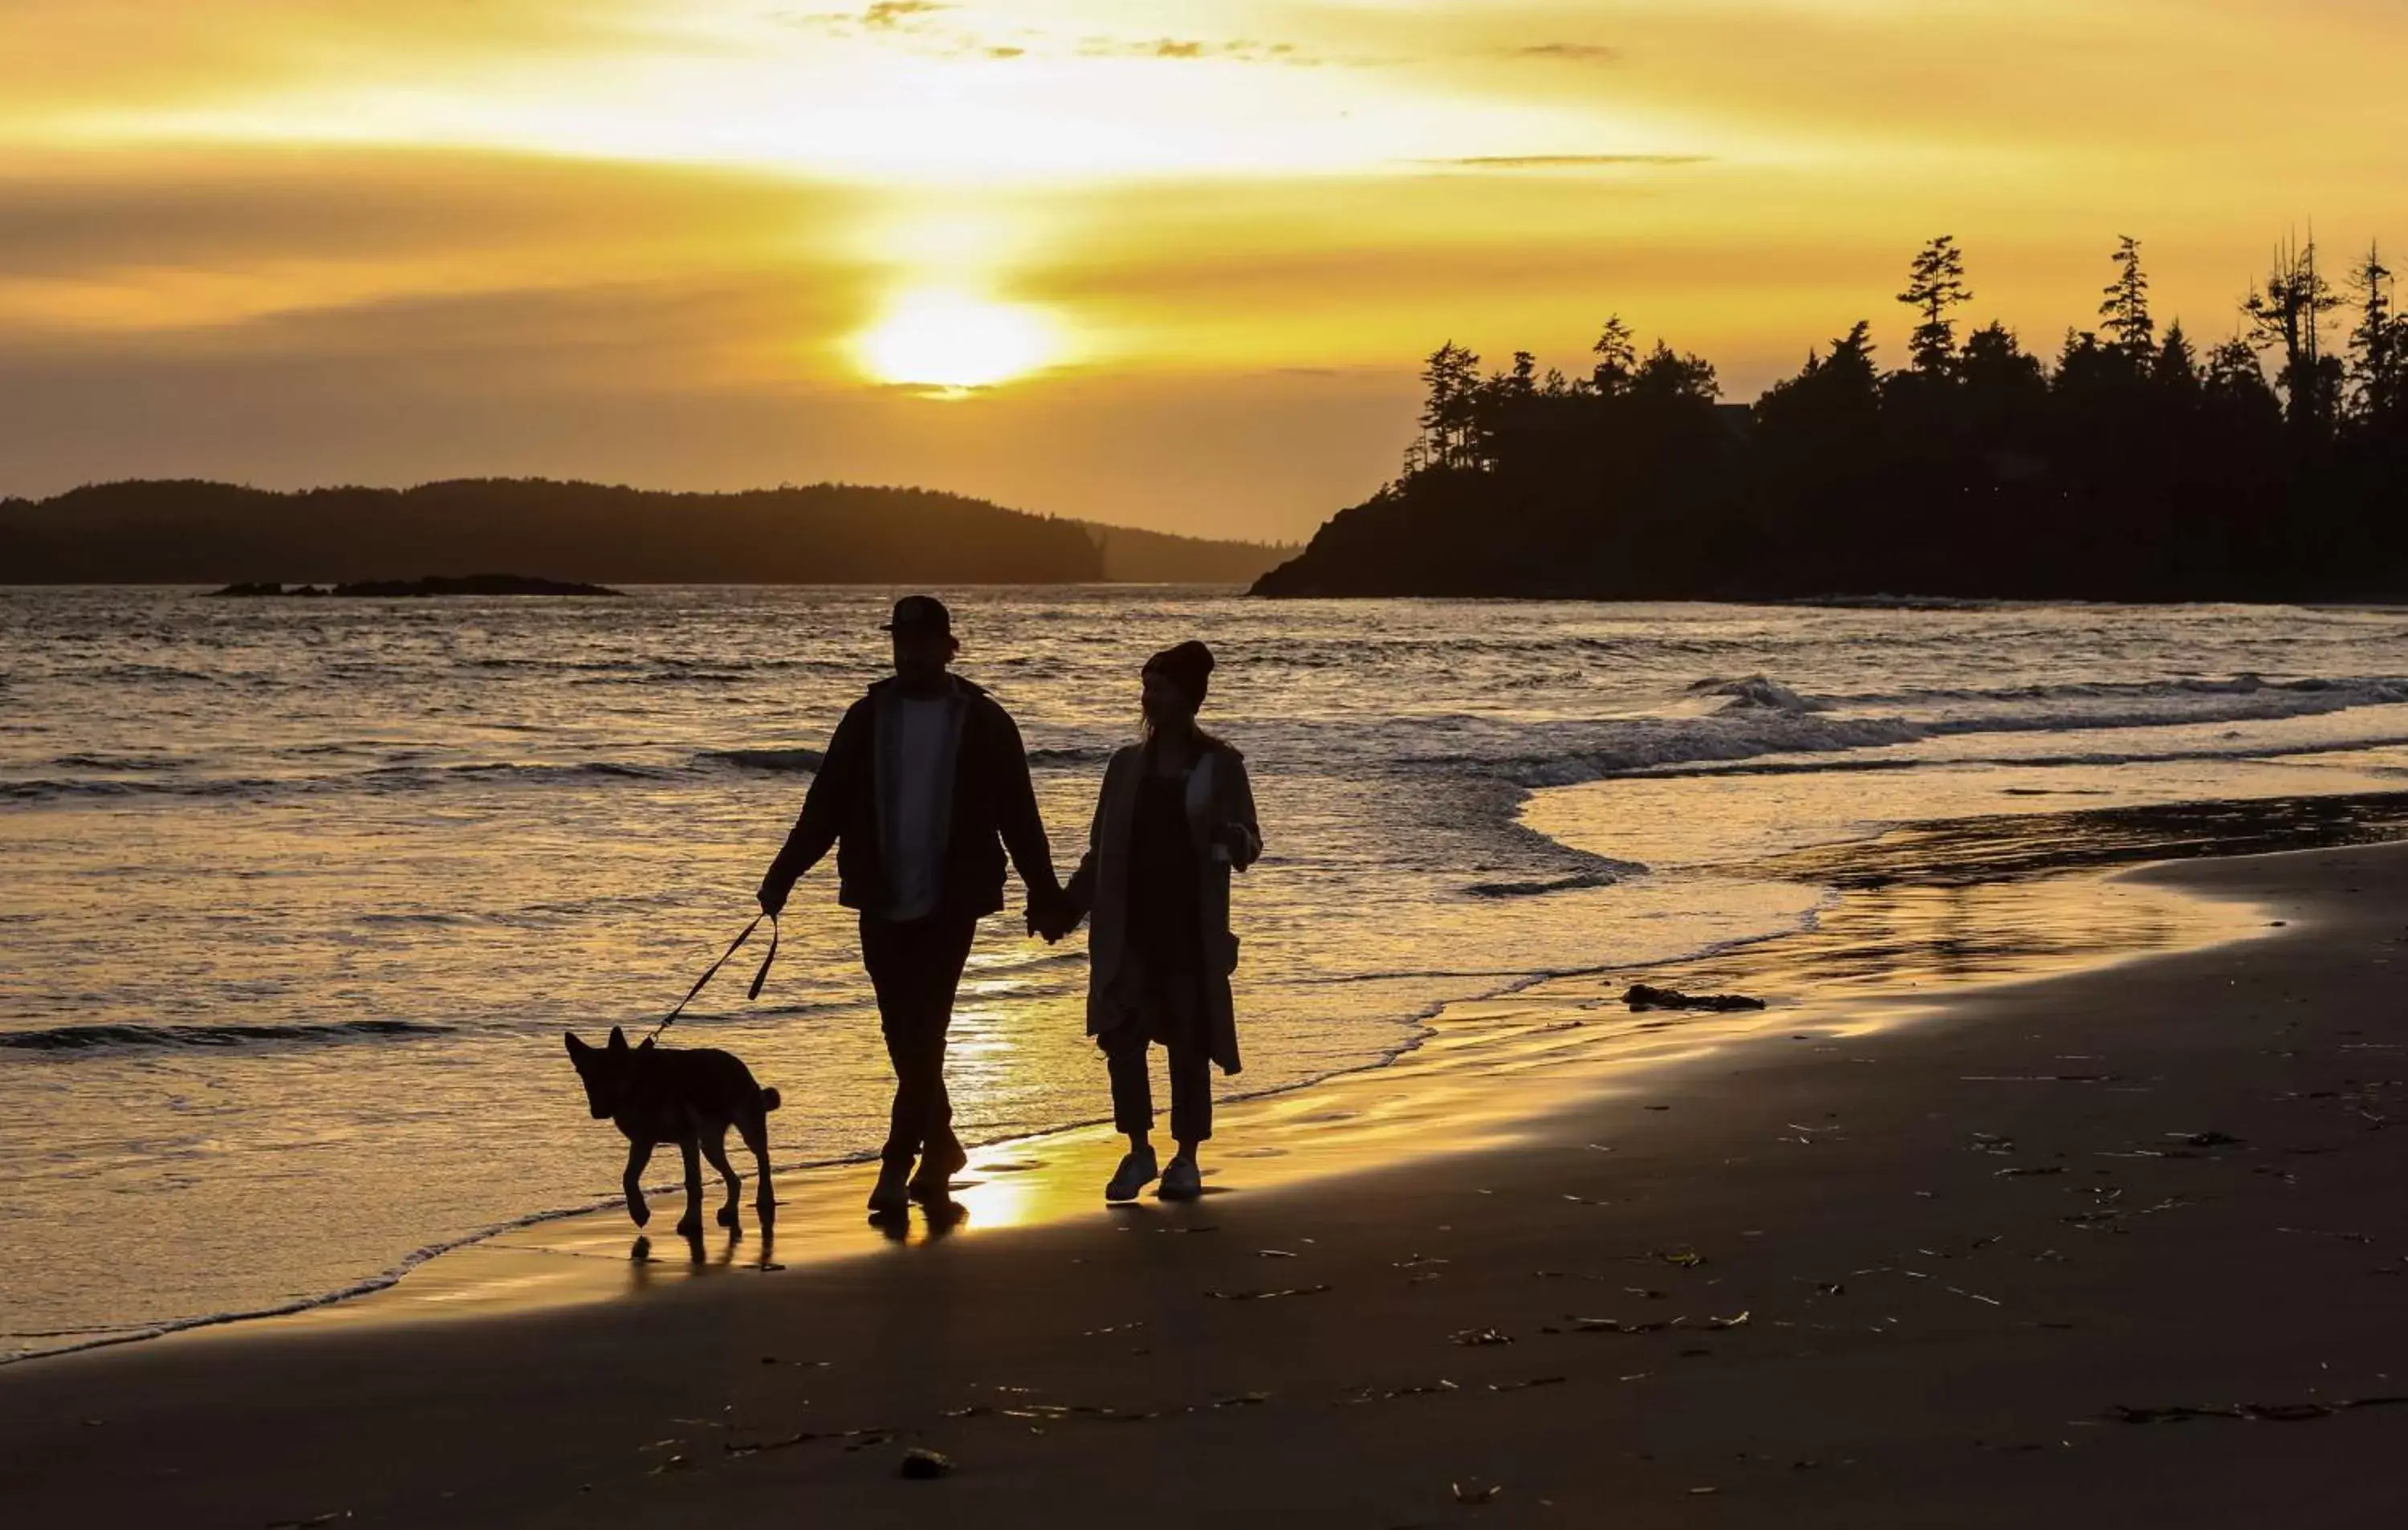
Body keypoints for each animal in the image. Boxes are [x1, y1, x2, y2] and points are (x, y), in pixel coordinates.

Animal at [563, 1031, 780, 1233]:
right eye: (585, 1076)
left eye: (610, 1074)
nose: (597, 1112)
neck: (636, 1084)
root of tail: (741, 1066)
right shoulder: (642, 1143)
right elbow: (628, 1178)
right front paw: (638, 1211)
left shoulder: (686, 1140)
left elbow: (692, 1182)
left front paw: (691, 1221)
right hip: (709, 1146)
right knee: (734, 1179)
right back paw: (729, 1209)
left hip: (748, 1132)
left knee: (763, 1160)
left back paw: (765, 1198)